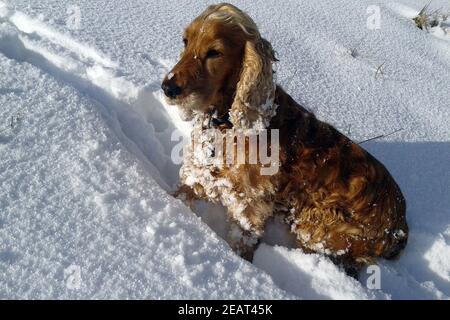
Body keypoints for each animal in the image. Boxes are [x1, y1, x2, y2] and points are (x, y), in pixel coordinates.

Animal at [161, 2, 408, 276]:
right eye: (186, 41)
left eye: (215, 52)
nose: (168, 88)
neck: (226, 123)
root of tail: (400, 225)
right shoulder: (200, 177)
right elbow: (180, 194)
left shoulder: (250, 206)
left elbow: (244, 240)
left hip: (317, 221)